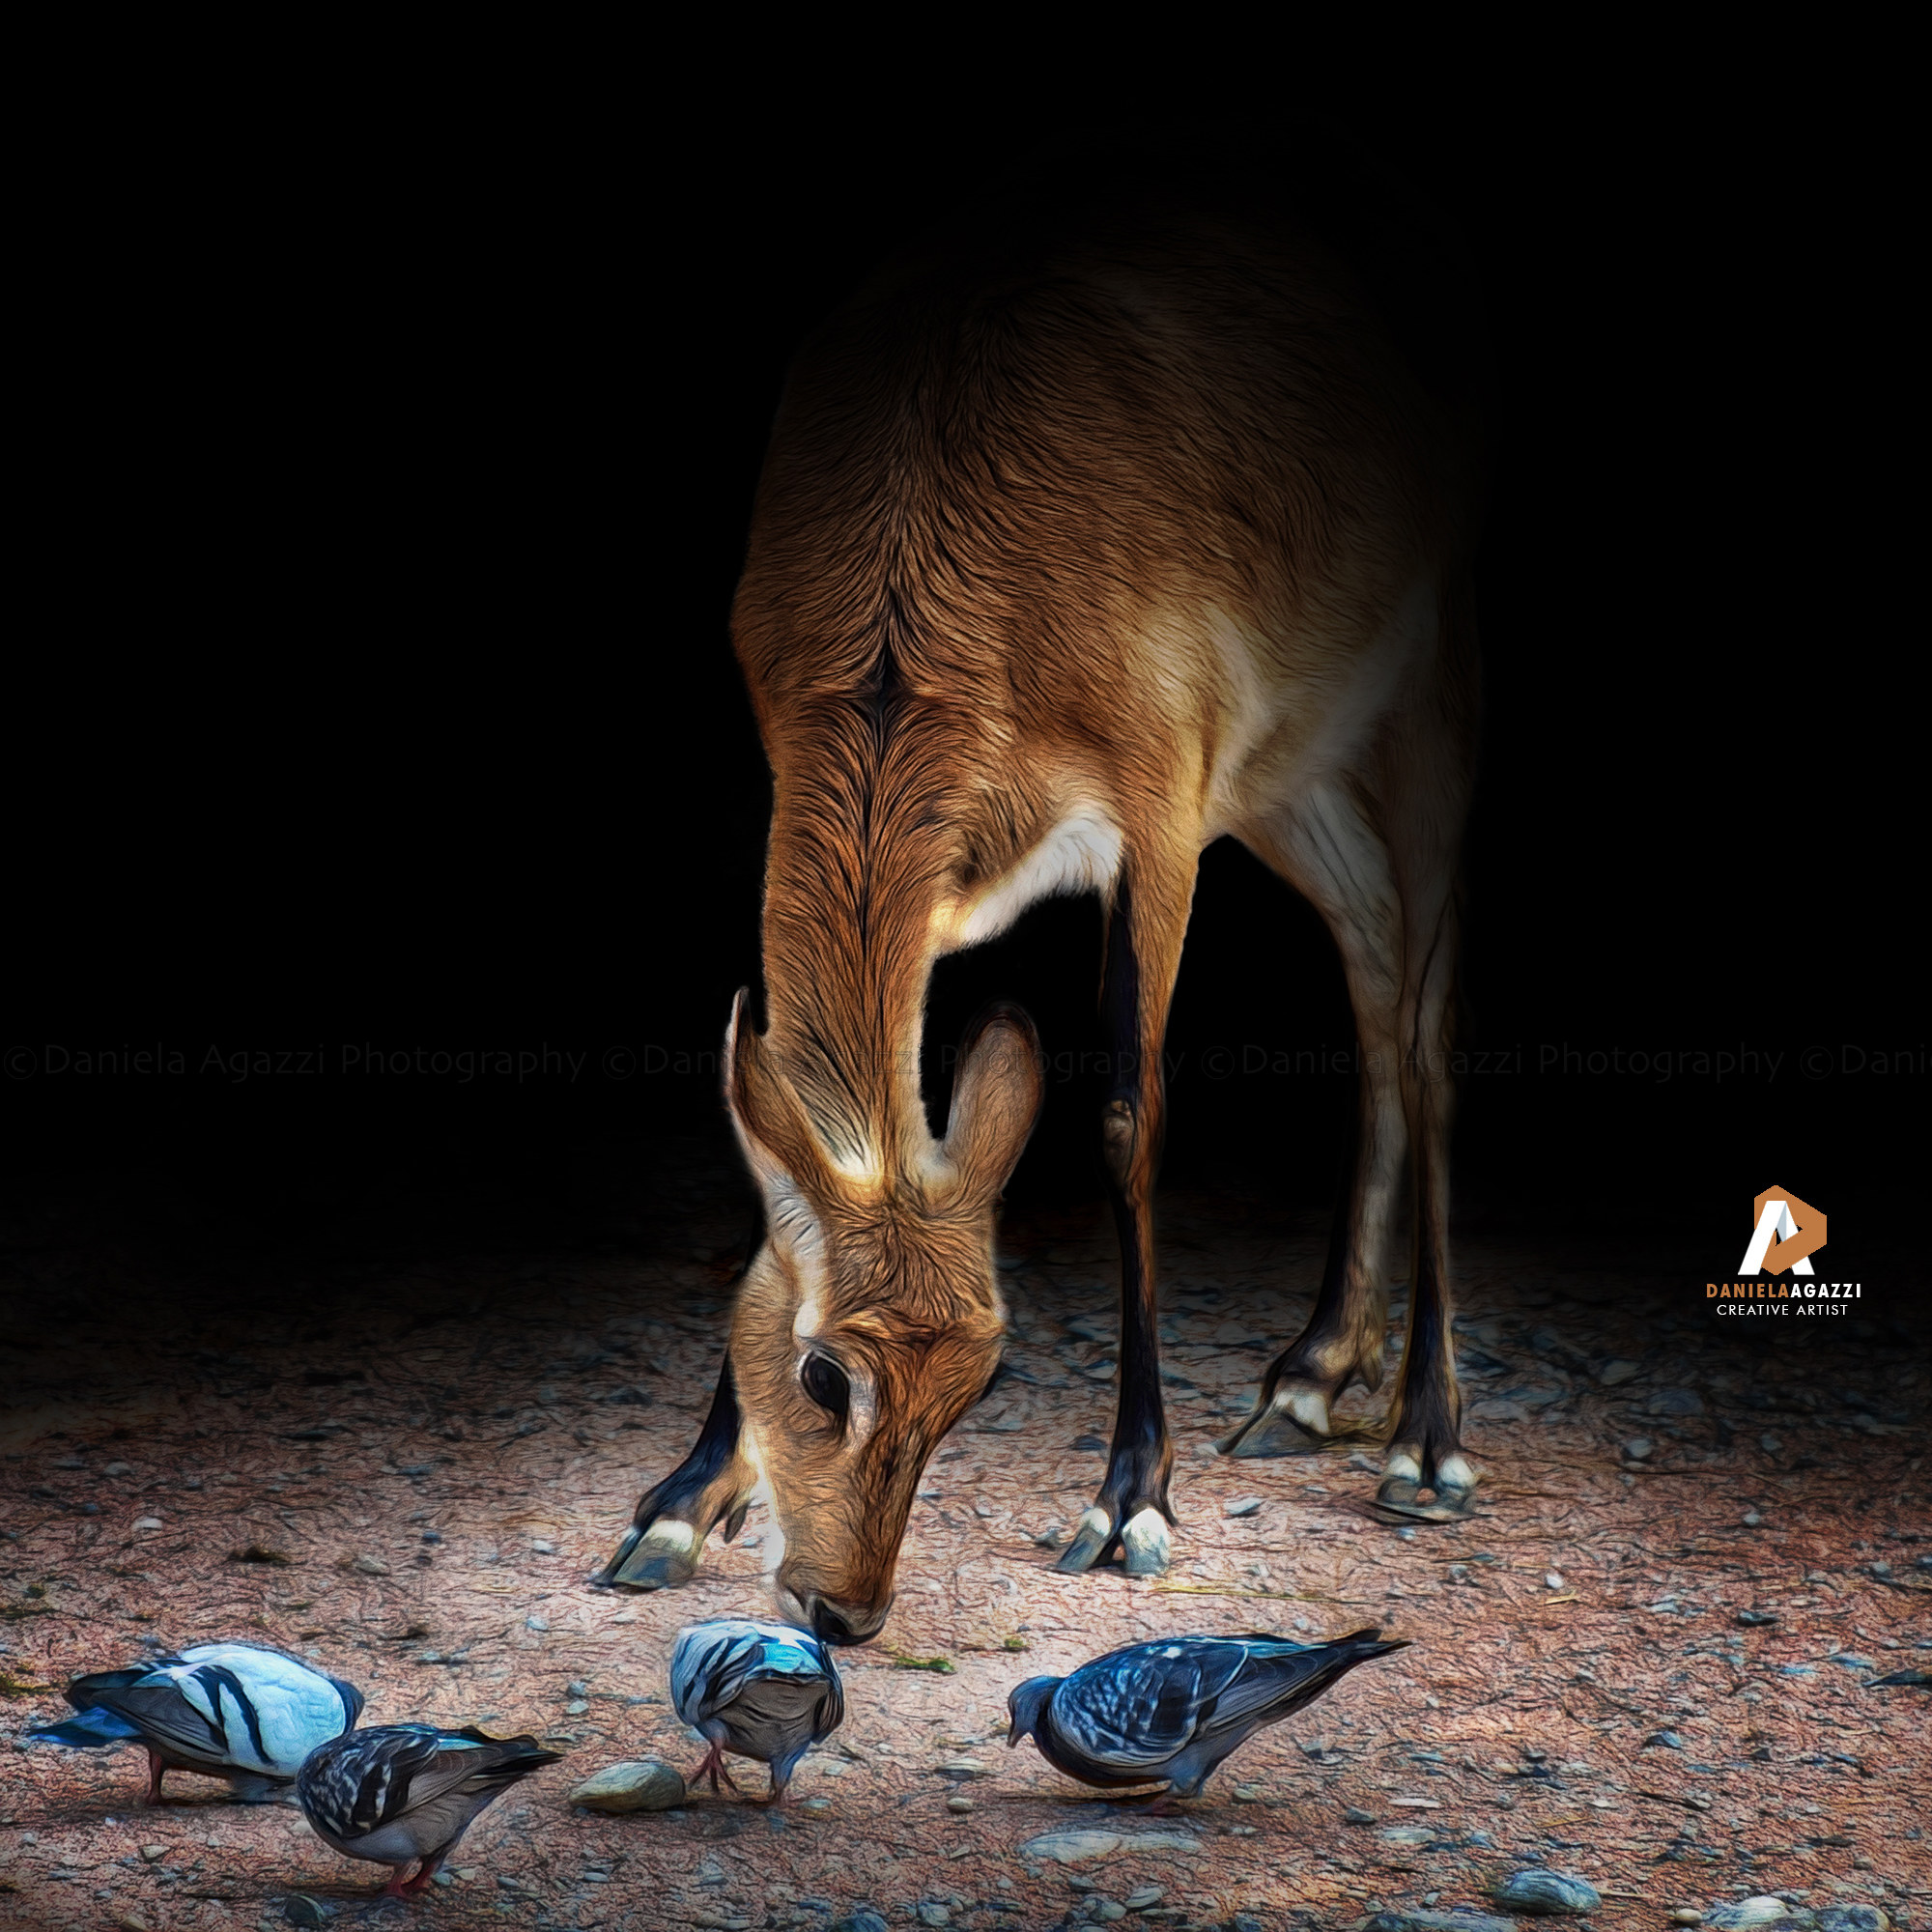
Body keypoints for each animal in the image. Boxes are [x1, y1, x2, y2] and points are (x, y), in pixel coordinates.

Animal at [601, 133, 1485, 1643]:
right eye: (828, 1369)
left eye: (985, 1379)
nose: (845, 1610)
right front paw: (673, 1504)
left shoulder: (1161, 804)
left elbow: (1130, 1118)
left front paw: (1129, 1502)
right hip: (1289, 776)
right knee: (1375, 977)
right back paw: (1306, 1378)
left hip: (1418, 701)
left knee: (1425, 1020)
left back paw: (1426, 1444)